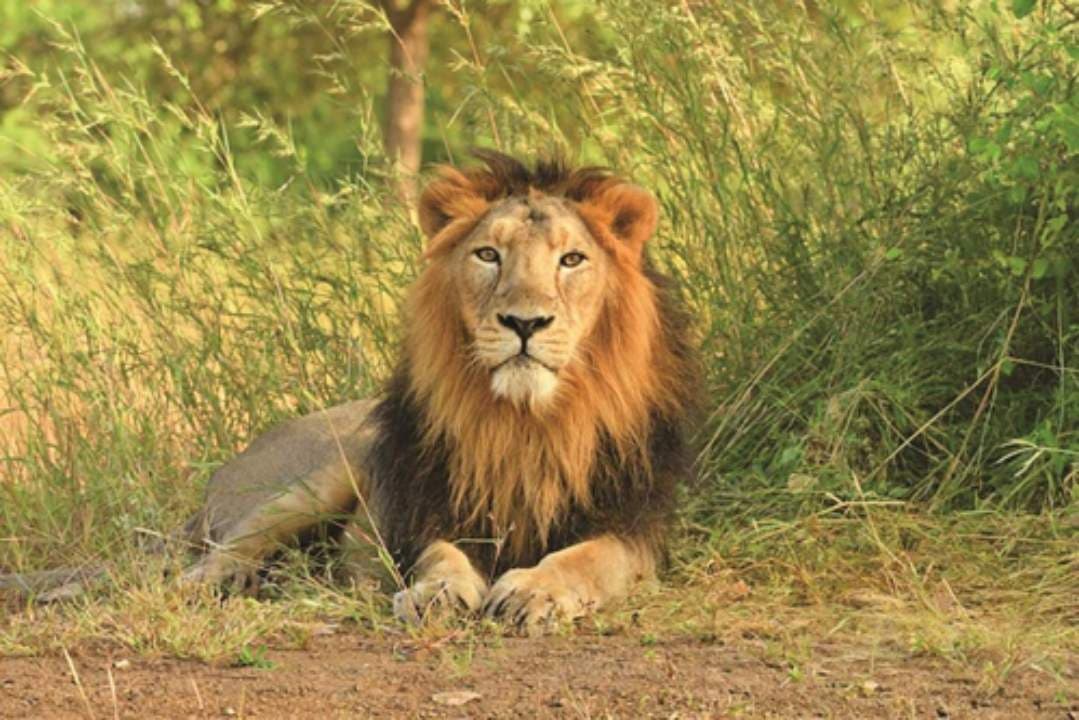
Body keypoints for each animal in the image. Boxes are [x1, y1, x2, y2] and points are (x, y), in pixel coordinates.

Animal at [178, 151, 698, 631]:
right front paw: (438, 593)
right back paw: (212, 582)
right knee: (229, 547)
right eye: (488, 255)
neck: (527, 421)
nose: (524, 322)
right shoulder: (428, 511)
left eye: (571, 260)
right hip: (319, 478)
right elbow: (441, 555)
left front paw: (534, 592)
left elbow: (585, 559)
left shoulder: (634, 529)